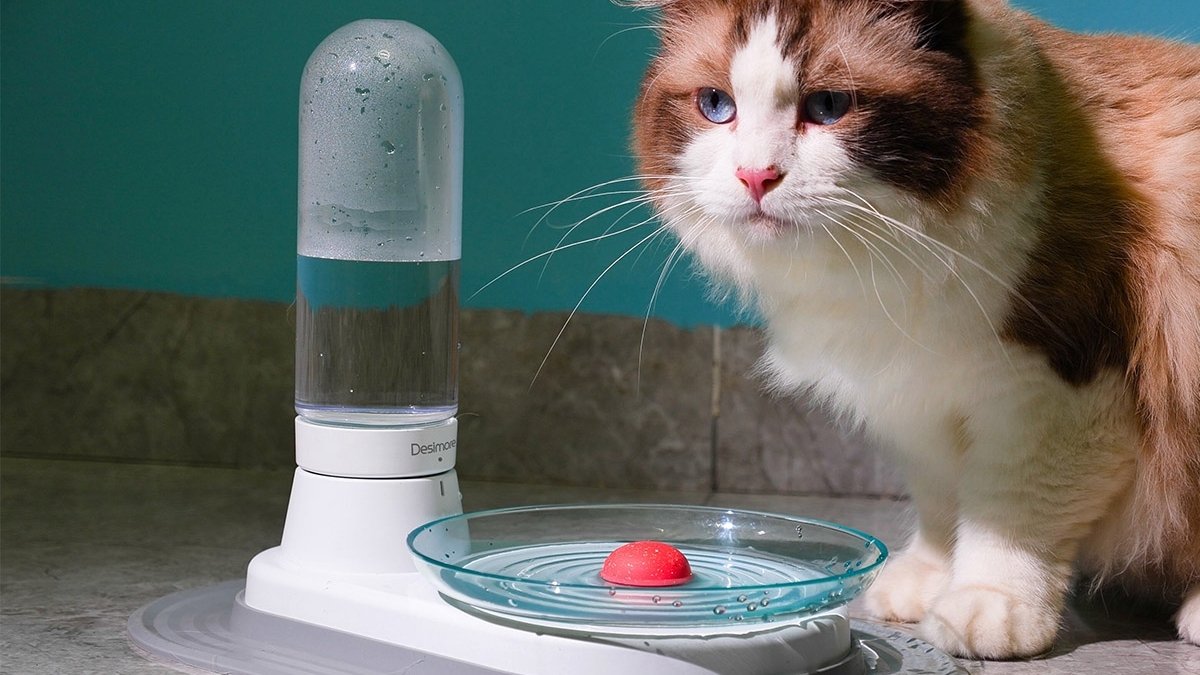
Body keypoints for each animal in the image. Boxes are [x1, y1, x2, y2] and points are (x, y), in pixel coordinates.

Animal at [619, 0, 1200, 658]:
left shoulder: (1057, 395)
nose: (755, 177)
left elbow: (1010, 514)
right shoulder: (920, 398)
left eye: (829, 106)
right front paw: (925, 585)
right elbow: (944, 505)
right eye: (717, 105)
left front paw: (985, 607)